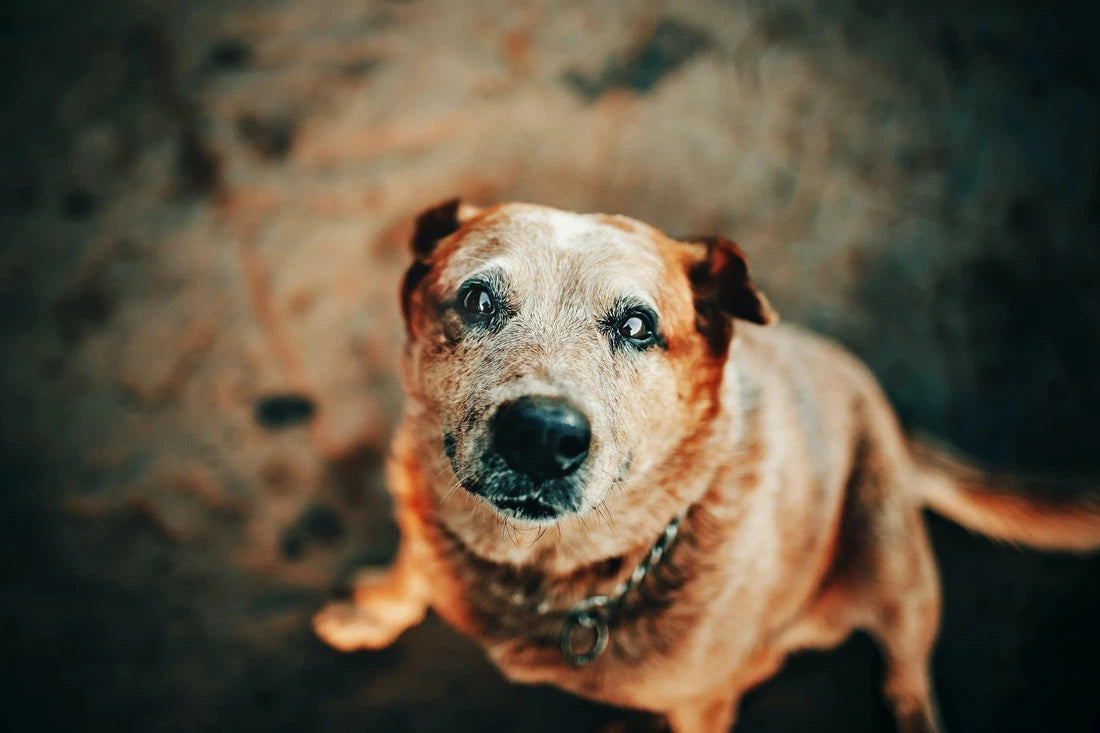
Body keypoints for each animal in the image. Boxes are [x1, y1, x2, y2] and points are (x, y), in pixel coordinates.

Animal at [312, 200, 1100, 730]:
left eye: (637, 325)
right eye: (477, 297)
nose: (540, 434)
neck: (547, 577)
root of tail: (902, 436)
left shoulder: (703, 704)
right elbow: (411, 571)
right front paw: (371, 610)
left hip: (894, 568)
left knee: (907, 668)